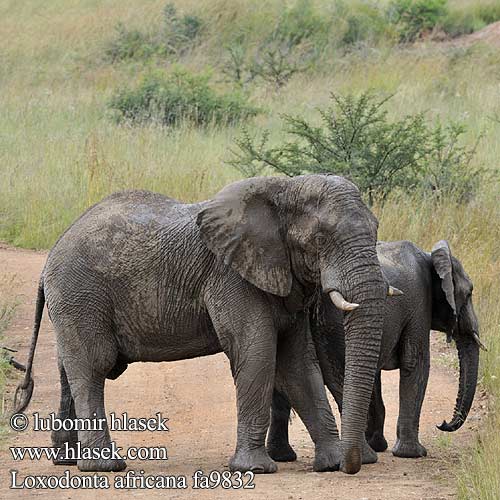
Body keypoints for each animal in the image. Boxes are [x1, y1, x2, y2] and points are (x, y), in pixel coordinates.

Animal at [12, 176, 394, 476]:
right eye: (319, 240)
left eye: (377, 229)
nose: (352, 465)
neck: (285, 188)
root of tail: (50, 258)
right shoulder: (230, 276)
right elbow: (257, 353)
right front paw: (254, 469)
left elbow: (298, 364)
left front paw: (330, 464)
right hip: (80, 292)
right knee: (93, 367)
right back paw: (104, 467)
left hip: (74, 301)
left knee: (69, 367)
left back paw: (67, 461)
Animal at [268, 238, 482, 460]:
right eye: (469, 293)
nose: (443, 424)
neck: (429, 256)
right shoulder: (420, 303)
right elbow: (415, 361)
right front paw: (411, 454)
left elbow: (375, 375)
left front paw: (380, 444)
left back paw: (282, 456)